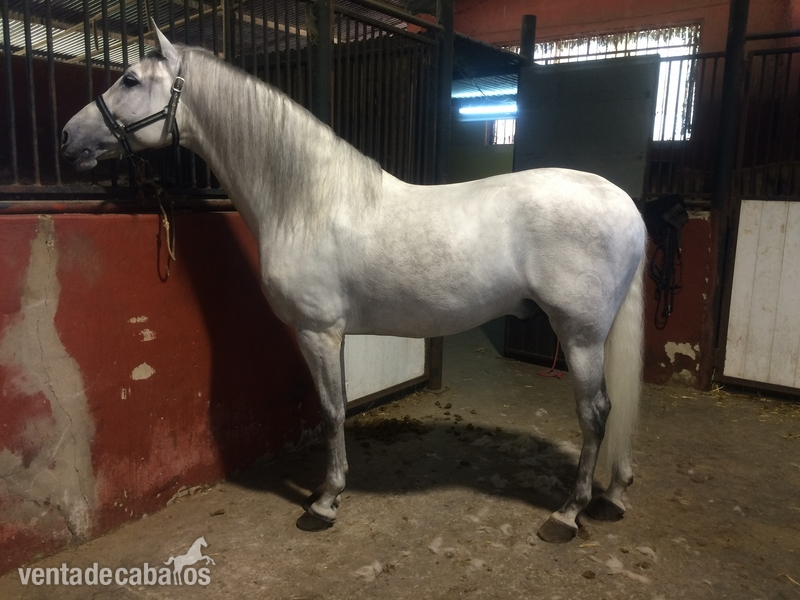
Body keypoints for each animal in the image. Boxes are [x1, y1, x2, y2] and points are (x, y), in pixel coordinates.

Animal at [61, 25, 646, 543]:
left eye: (130, 80)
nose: (68, 136)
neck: (305, 201)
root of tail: (623, 201)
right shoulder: (332, 333)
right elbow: (337, 404)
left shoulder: (317, 331)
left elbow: (331, 409)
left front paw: (323, 502)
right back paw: (613, 496)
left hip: (580, 336)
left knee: (596, 413)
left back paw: (568, 514)